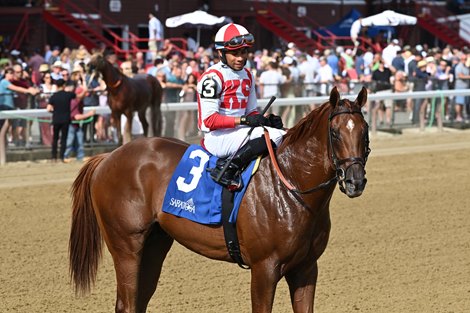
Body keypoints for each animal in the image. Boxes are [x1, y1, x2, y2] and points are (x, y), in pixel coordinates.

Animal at [70, 87, 370, 312]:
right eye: (335, 133)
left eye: (364, 130)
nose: (354, 181)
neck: (290, 186)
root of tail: (107, 157)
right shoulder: (264, 269)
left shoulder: (306, 268)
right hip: (126, 246)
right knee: (127, 303)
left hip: (154, 244)